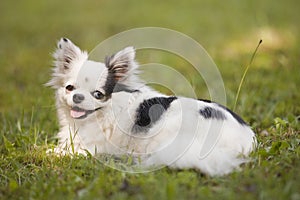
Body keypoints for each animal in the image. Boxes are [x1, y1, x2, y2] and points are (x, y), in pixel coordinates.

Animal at [46, 37, 255, 175]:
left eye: (98, 95)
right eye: (69, 88)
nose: (77, 97)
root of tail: (247, 139)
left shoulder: (93, 147)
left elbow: (68, 152)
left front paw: (52, 153)